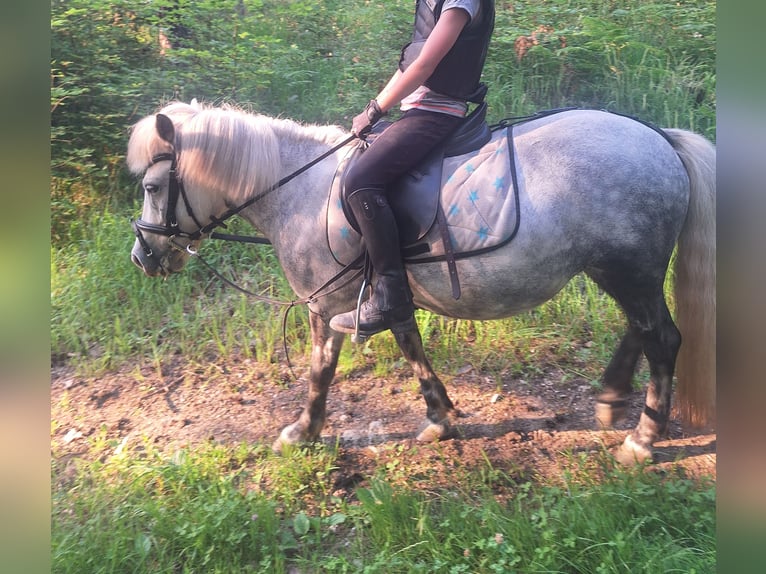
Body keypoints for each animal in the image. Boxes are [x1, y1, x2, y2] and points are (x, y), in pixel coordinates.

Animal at [127, 100, 715, 464]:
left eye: (153, 187)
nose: (143, 256)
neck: (301, 193)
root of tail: (659, 139)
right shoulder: (386, 293)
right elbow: (411, 344)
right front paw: (440, 417)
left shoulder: (325, 305)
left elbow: (321, 371)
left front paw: (302, 431)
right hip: (618, 270)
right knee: (641, 330)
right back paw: (612, 398)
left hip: (627, 269)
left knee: (662, 338)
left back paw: (642, 440)